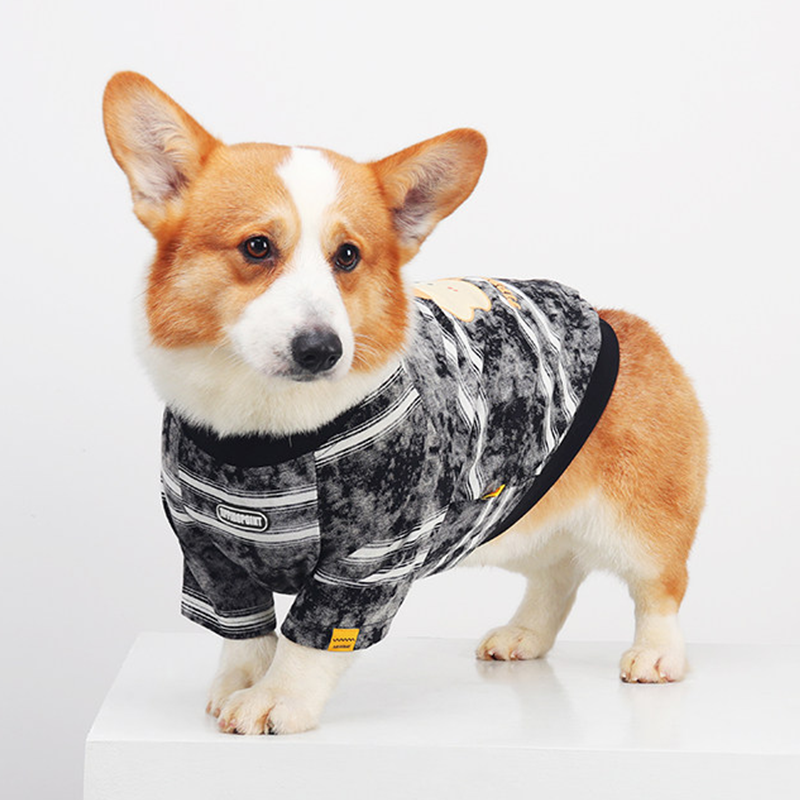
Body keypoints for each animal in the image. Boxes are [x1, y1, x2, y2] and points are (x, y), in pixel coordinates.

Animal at [103, 72, 708, 735]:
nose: (322, 349)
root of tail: (621, 320)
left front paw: (275, 699)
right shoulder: (210, 555)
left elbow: (305, 642)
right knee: (559, 573)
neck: (263, 434)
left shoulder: (367, 560)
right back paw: (524, 634)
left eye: (347, 255)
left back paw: (655, 654)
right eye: (257, 246)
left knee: (660, 585)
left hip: (639, 518)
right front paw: (237, 683)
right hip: (523, 512)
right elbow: (246, 634)